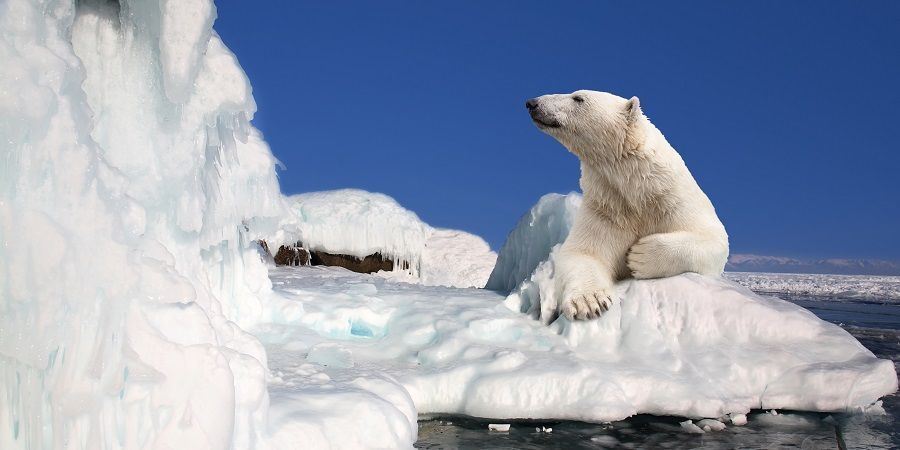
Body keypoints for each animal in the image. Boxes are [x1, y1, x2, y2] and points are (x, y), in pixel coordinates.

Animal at [524, 89, 728, 320]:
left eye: (578, 98)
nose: (532, 103)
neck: (638, 193)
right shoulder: (606, 209)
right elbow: (584, 253)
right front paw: (589, 302)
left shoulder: (675, 200)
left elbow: (713, 239)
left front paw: (641, 255)